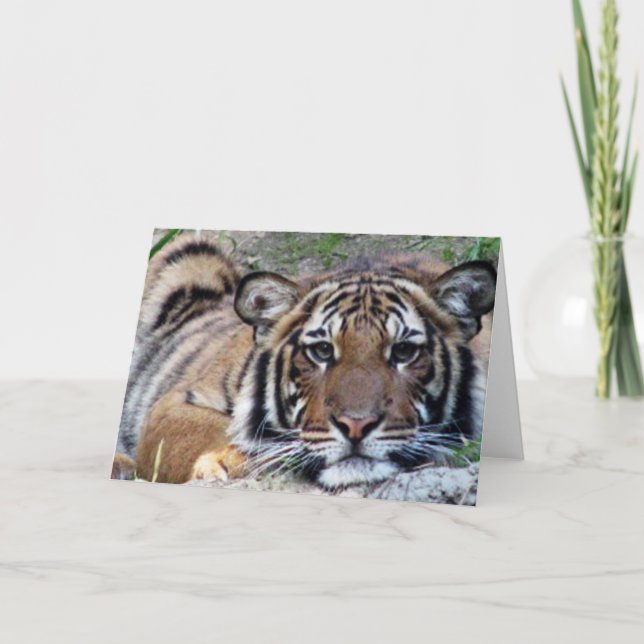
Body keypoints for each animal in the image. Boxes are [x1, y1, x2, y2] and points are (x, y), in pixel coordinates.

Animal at [112, 231, 496, 490]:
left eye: (403, 352)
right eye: (322, 351)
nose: (356, 426)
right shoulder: (175, 403)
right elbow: (213, 428)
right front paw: (229, 458)